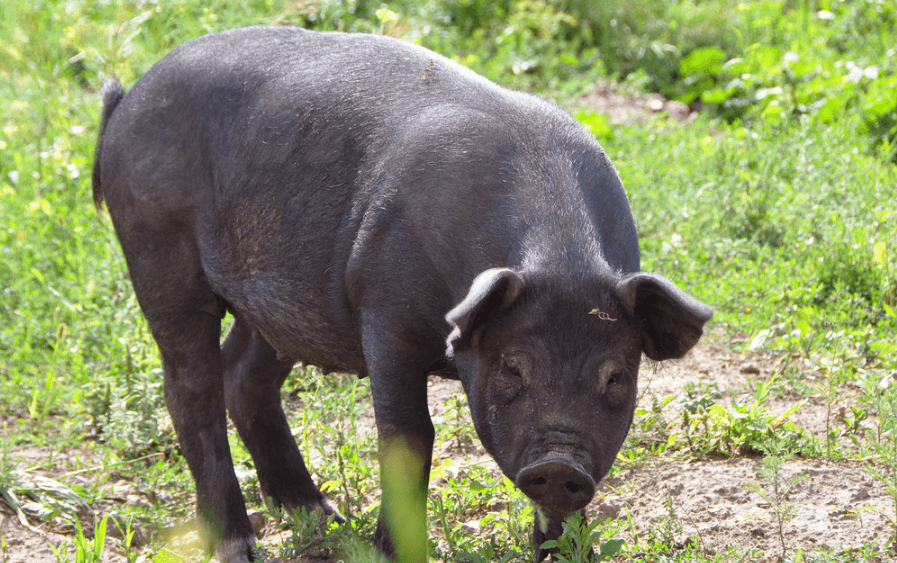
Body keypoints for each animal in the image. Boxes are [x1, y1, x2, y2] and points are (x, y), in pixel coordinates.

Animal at [93, 27, 712, 563]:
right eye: (512, 368)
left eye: (616, 378)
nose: (561, 464)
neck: (560, 256)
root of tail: (128, 99)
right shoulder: (385, 312)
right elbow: (409, 436)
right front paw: (390, 550)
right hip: (156, 249)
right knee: (189, 388)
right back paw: (242, 547)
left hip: (282, 303)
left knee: (242, 375)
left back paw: (322, 516)